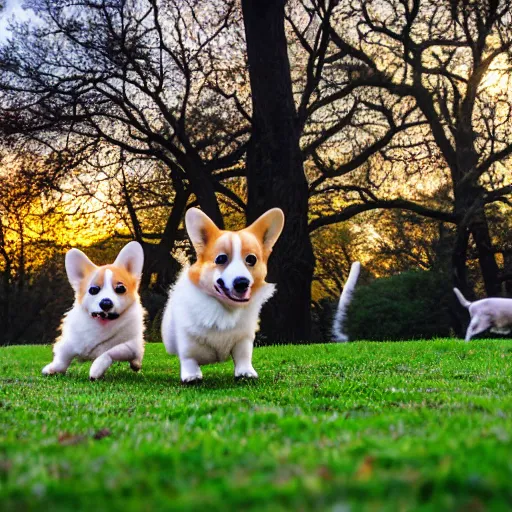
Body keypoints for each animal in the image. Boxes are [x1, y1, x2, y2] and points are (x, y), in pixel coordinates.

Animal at [41, 241, 146, 380]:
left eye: (120, 289)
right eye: (93, 290)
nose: (106, 303)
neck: (102, 323)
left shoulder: (128, 347)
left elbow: (107, 353)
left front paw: (96, 369)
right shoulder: (69, 343)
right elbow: (62, 359)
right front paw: (52, 369)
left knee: (138, 354)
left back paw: (136, 364)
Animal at [161, 207, 284, 380]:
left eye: (251, 259)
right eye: (221, 259)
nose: (242, 282)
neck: (226, 307)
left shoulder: (243, 338)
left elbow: (243, 355)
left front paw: (246, 372)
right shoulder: (187, 338)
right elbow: (188, 356)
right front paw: (192, 375)